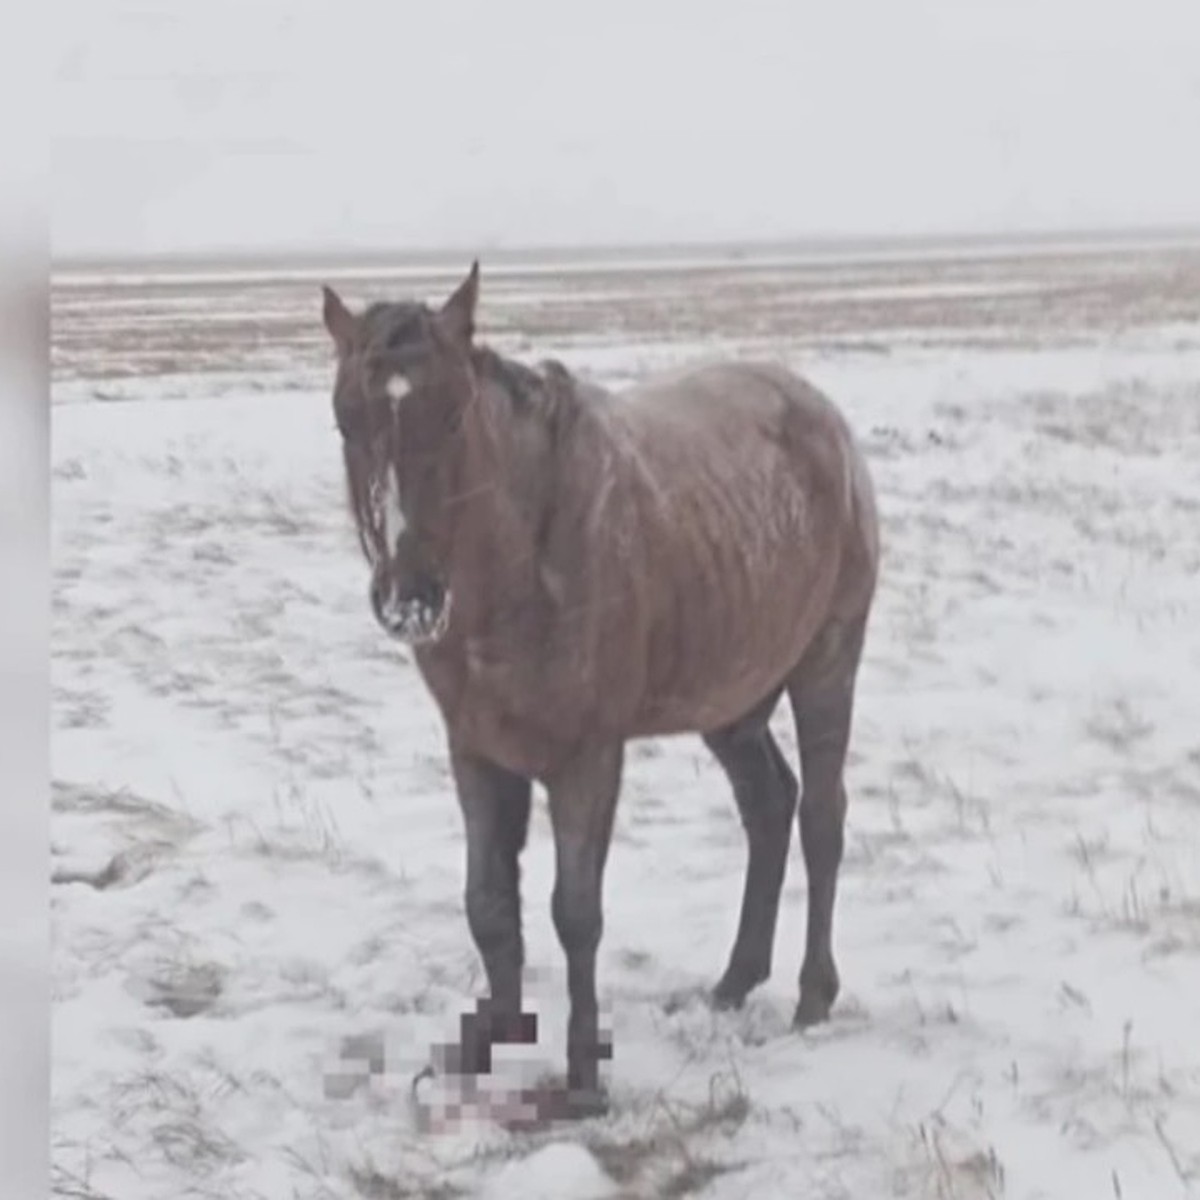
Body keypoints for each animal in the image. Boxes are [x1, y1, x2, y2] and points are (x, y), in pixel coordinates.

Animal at [321, 260, 883, 1113]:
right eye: (345, 420)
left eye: (452, 416)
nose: (408, 596)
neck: (523, 568)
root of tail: (824, 418)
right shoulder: (477, 750)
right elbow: (490, 906)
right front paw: (485, 1042)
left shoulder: (587, 756)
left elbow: (575, 912)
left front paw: (584, 1077)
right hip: (731, 701)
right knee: (767, 806)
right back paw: (733, 982)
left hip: (827, 662)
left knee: (821, 816)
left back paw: (812, 996)